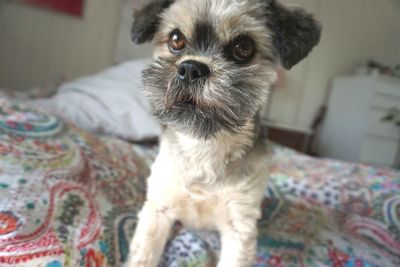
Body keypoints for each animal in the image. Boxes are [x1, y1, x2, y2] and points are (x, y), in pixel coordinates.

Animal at [126, 1, 320, 266]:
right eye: (176, 39)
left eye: (243, 47)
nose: (191, 68)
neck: (205, 146)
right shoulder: (158, 209)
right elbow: (143, 255)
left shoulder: (239, 224)